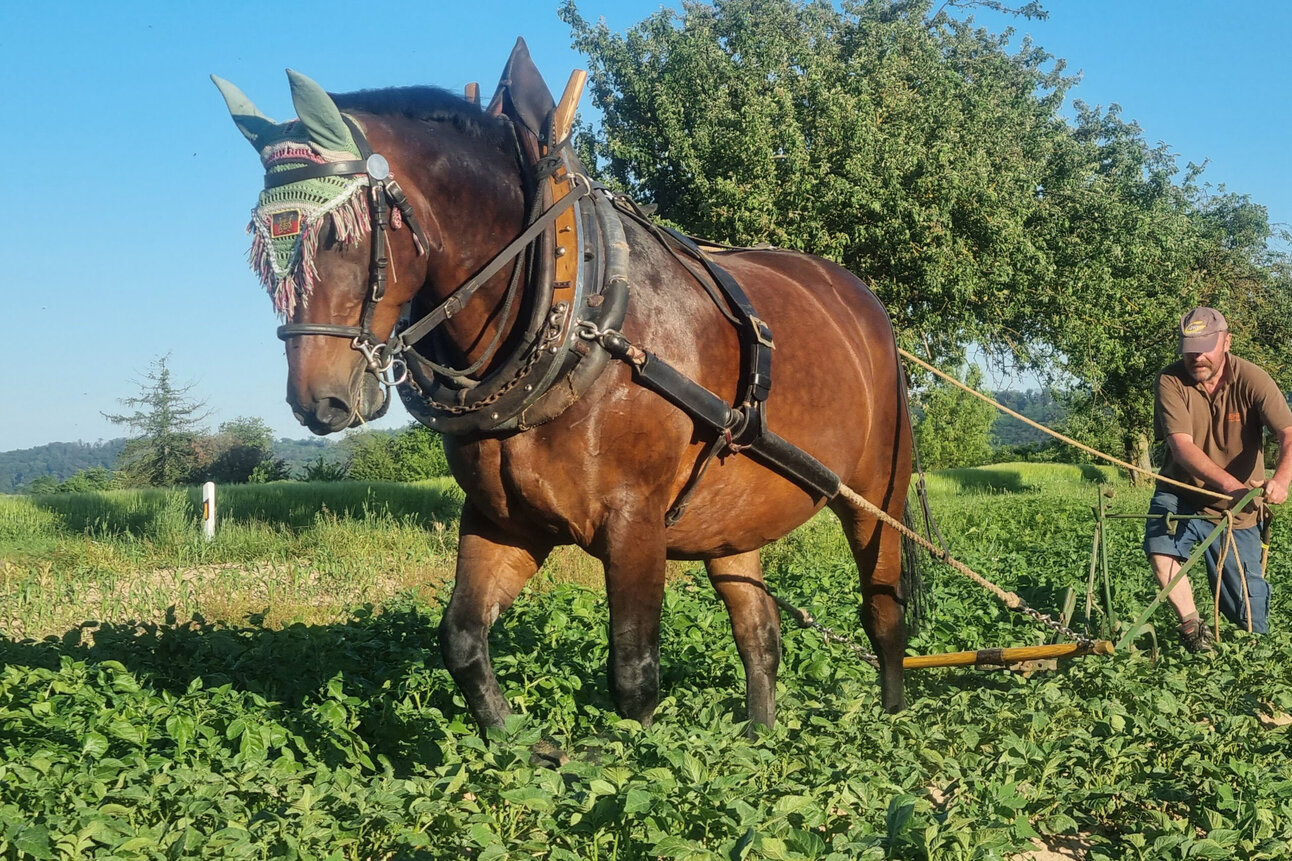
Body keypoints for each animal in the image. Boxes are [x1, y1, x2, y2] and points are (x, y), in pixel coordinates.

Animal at [213, 38, 918, 738]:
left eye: (338, 234)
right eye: (262, 252)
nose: (318, 402)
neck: (579, 314)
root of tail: (862, 301)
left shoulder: (635, 522)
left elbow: (634, 677)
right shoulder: (506, 519)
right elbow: (462, 640)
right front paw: (529, 747)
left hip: (877, 489)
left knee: (883, 611)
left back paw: (893, 727)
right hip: (732, 516)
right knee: (759, 633)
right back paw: (760, 740)